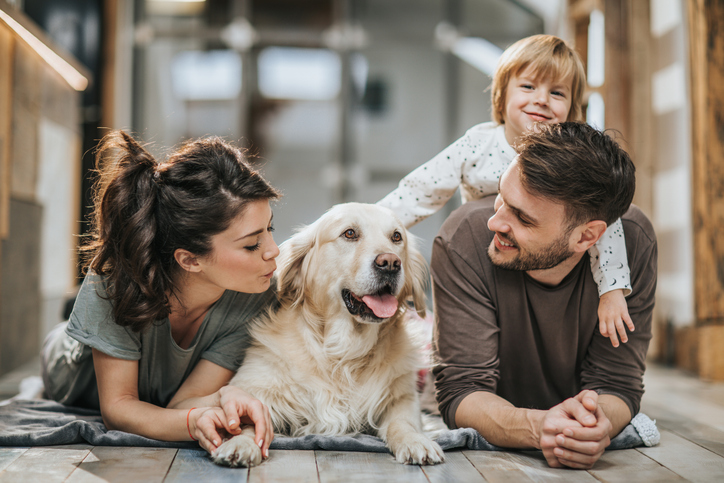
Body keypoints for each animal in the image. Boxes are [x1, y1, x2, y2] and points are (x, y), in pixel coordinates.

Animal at [212, 202, 444, 466]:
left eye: (397, 237)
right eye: (349, 233)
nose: (391, 263)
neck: (343, 353)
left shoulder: (402, 397)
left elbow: (403, 422)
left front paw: (416, 440)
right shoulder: (256, 386)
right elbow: (249, 419)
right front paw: (240, 443)